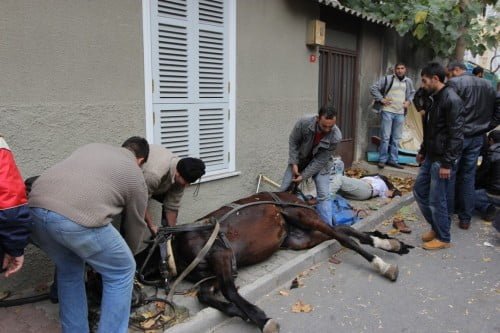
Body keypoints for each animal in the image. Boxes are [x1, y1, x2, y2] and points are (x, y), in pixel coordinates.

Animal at [138, 191, 414, 332]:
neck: (172, 247)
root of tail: (293, 194)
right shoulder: (215, 272)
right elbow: (205, 296)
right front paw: (242, 314)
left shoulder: (222, 256)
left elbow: (229, 290)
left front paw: (261, 318)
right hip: (301, 237)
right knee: (343, 232)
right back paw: (389, 244)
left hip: (301, 216)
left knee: (344, 238)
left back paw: (382, 263)